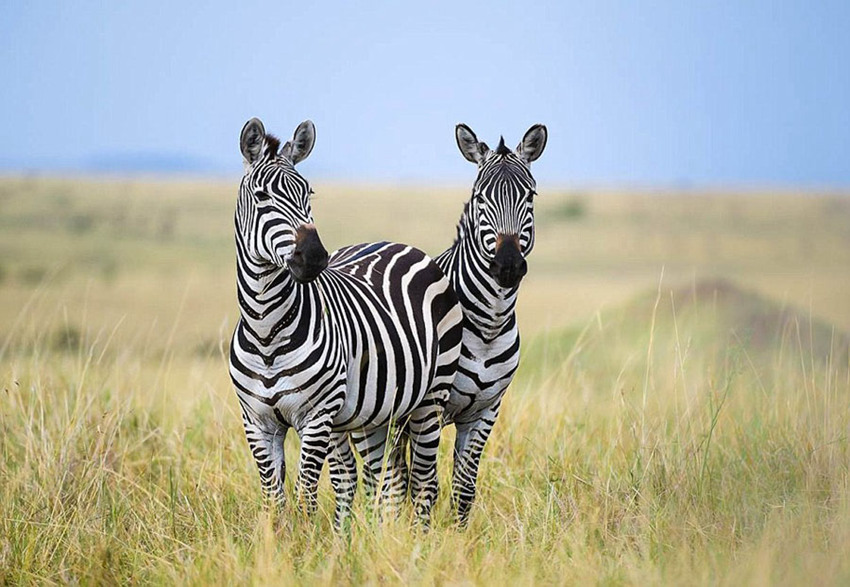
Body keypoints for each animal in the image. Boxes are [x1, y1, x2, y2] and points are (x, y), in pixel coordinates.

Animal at [229, 116, 460, 528]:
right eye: (261, 196)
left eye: (309, 193)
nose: (315, 257)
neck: (267, 329)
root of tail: (400, 245)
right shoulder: (256, 421)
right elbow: (274, 499)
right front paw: (275, 542)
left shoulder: (317, 416)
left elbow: (305, 496)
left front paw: (303, 543)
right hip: (375, 412)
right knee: (380, 479)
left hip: (431, 397)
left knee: (424, 482)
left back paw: (418, 539)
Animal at [428, 121, 548, 524]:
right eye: (480, 198)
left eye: (530, 196)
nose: (507, 264)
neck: (487, 325)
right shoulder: (430, 407)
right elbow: (426, 482)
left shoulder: (485, 410)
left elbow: (464, 488)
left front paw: (459, 534)